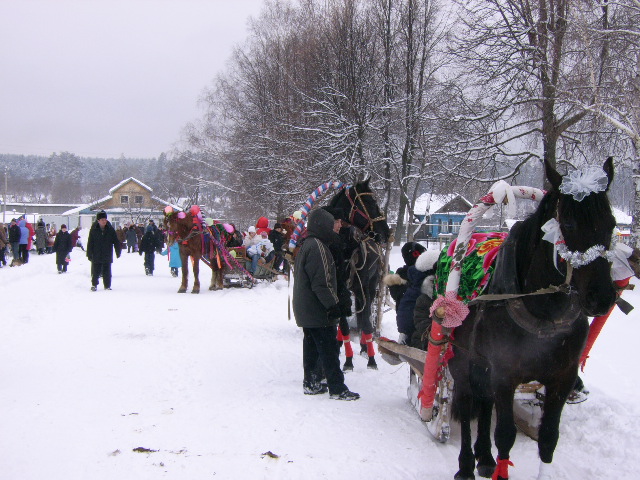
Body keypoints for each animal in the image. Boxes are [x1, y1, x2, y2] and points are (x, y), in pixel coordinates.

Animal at [330, 180, 390, 372]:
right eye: (370, 203)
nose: (385, 232)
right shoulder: (339, 290)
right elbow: (344, 326)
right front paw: (348, 360)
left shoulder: (362, 287)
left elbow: (366, 322)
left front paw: (371, 358)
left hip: (369, 286)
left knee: (366, 312)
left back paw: (364, 346)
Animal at [448, 158, 616, 480]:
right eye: (569, 223)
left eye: (612, 224)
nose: (602, 297)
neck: (544, 316)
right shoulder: (504, 374)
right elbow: (505, 435)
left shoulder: (562, 378)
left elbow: (548, 438)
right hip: (460, 359)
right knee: (465, 403)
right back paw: (464, 465)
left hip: (482, 364)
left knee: (484, 403)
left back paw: (484, 457)